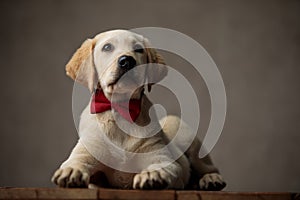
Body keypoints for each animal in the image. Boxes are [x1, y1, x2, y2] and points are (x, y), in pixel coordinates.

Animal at [51, 28, 225, 190]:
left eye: (139, 49)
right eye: (107, 47)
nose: (127, 61)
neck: (122, 108)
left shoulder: (163, 158)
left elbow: (161, 166)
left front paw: (153, 174)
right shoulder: (87, 152)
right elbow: (76, 162)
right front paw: (72, 171)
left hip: (184, 133)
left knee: (208, 168)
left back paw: (211, 179)